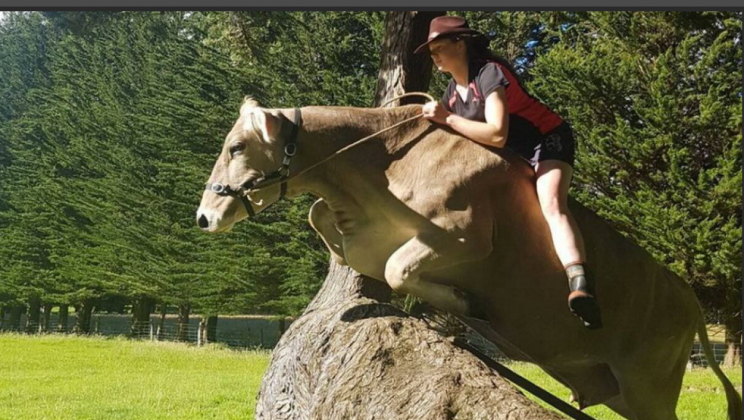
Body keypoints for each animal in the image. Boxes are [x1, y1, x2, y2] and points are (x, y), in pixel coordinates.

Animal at [196, 97, 741, 420]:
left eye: (236, 146)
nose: (203, 217)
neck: (383, 167)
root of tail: (687, 299)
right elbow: (323, 223)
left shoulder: (464, 236)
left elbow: (399, 267)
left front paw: (463, 305)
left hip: (650, 382)